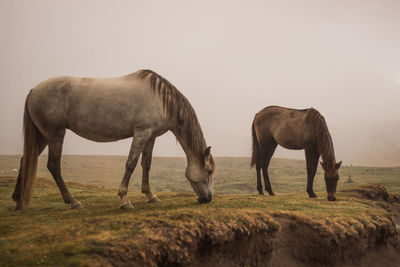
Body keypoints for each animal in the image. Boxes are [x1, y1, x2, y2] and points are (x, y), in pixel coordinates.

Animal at [11, 69, 216, 211]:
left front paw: (150, 196)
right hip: (55, 135)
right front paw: (125, 200)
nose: (208, 198)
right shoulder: (141, 134)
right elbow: (130, 164)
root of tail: (33, 91)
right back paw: (73, 202)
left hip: (42, 136)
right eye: (208, 171)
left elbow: (146, 164)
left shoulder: (150, 136)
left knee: (26, 160)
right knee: (54, 166)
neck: (162, 100)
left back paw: (18, 201)